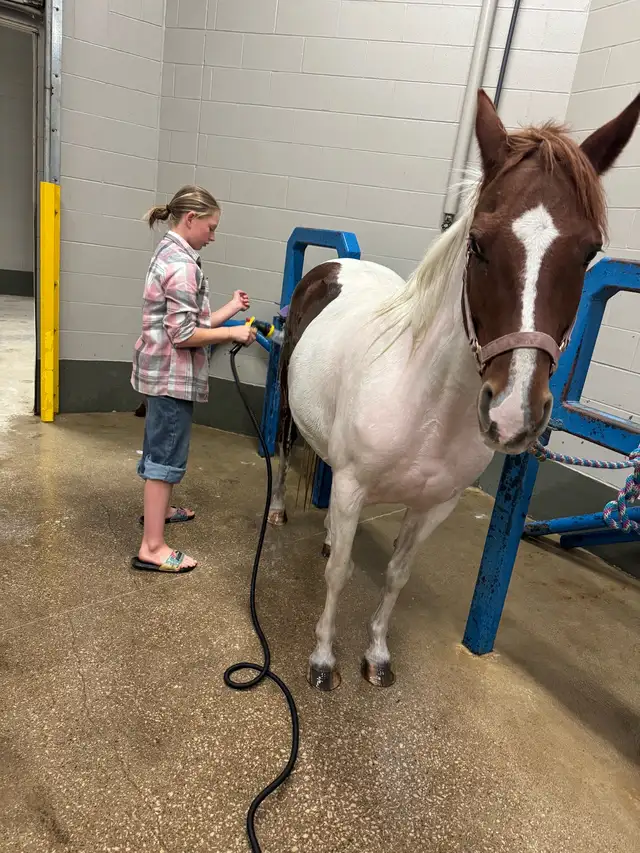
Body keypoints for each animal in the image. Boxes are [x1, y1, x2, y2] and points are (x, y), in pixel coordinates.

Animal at [267, 89, 640, 692]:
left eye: (589, 252)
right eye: (479, 245)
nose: (512, 414)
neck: (427, 407)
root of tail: (332, 266)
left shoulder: (434, 505)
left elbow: (396, 574)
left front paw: (376, 657)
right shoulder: (352, 486)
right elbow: (339, 573)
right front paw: (323, 660)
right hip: (286, 406)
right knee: (282, 451)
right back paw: (279, 511)